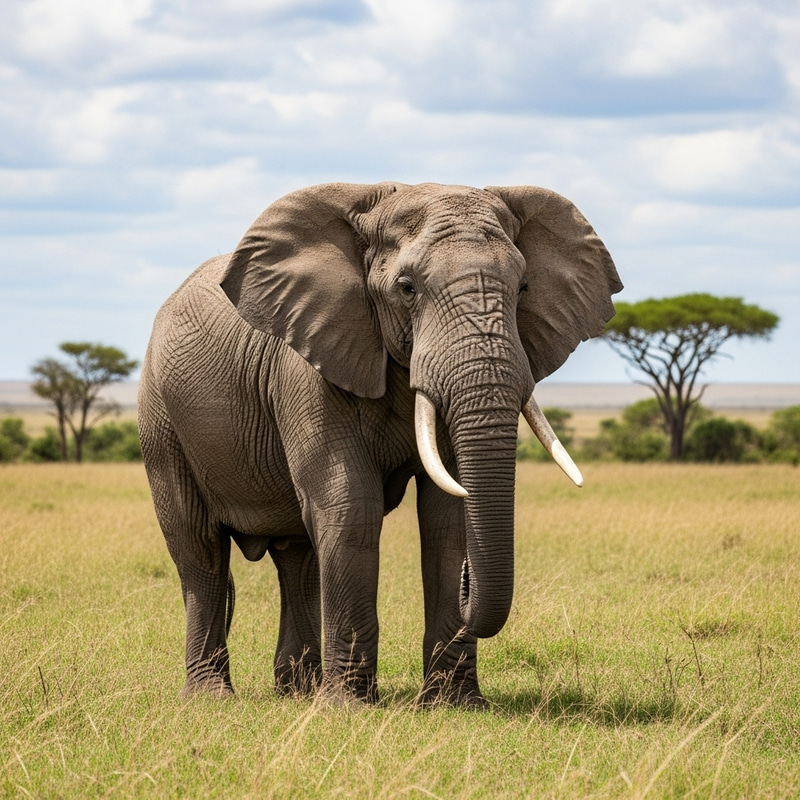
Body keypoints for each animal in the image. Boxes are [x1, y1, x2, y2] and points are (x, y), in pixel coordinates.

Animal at [138, 181, 622, 707]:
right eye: (407, 288)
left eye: (524, 289)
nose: (468, 581)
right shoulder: (307, 365)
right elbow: (350, 504)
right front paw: (347, 709)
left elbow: (447, 515)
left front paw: (454, 705)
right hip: (160, 416)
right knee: (199, 548)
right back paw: (212, 698)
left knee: (297, 557)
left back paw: (298, 692)